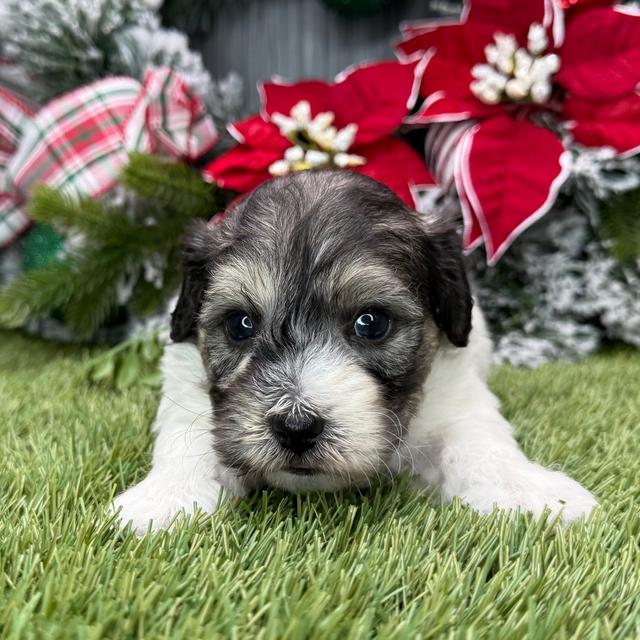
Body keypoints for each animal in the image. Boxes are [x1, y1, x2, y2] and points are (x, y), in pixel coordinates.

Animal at [112, 170, 596, 536]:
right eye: (240, 324)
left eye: (371, 322)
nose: (296, 427)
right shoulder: (184, 379)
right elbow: (189, 436)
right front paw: (165, 499)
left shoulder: (457, 396)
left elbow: (479, 440)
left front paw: (523, 490)